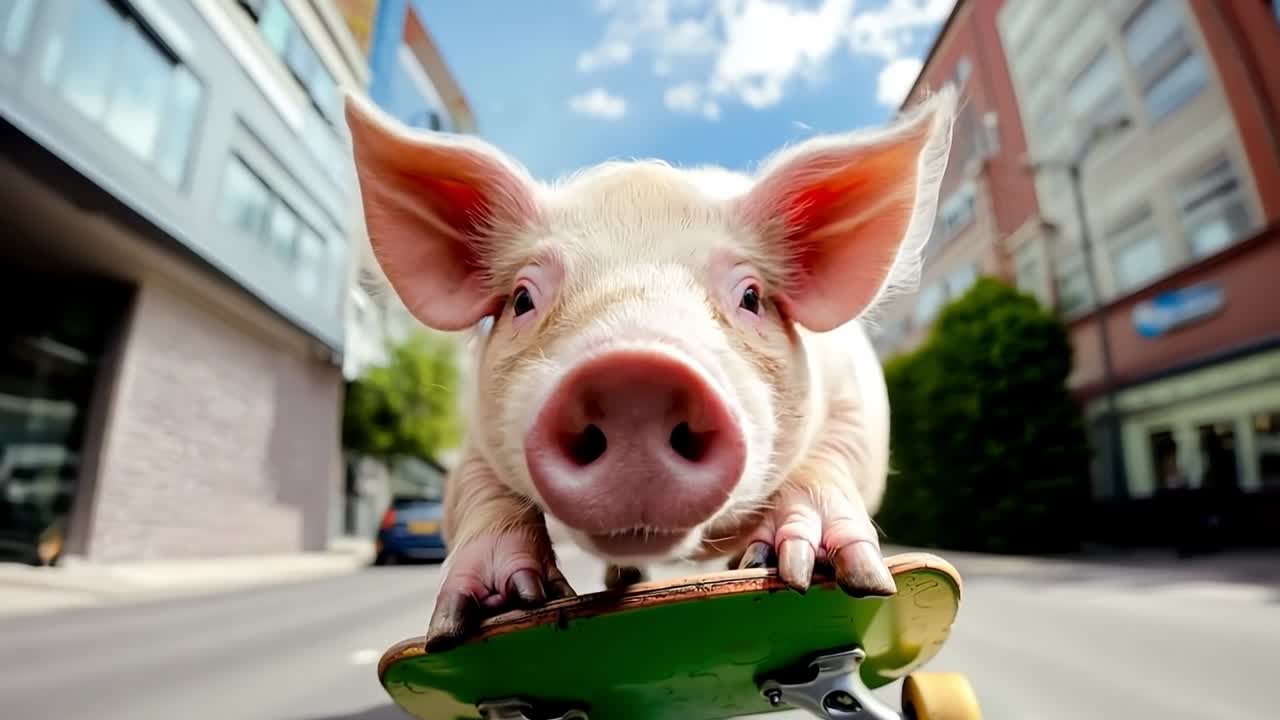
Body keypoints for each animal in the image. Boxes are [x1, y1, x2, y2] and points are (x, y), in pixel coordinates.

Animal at [342, 85, 955, 651]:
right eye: (522, 299)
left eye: (751, 297)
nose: (634, 378)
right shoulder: (474, 434)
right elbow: (478, 489)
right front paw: (498, 609)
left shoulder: (854, 405)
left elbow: (830, 460)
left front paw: (824, 575)